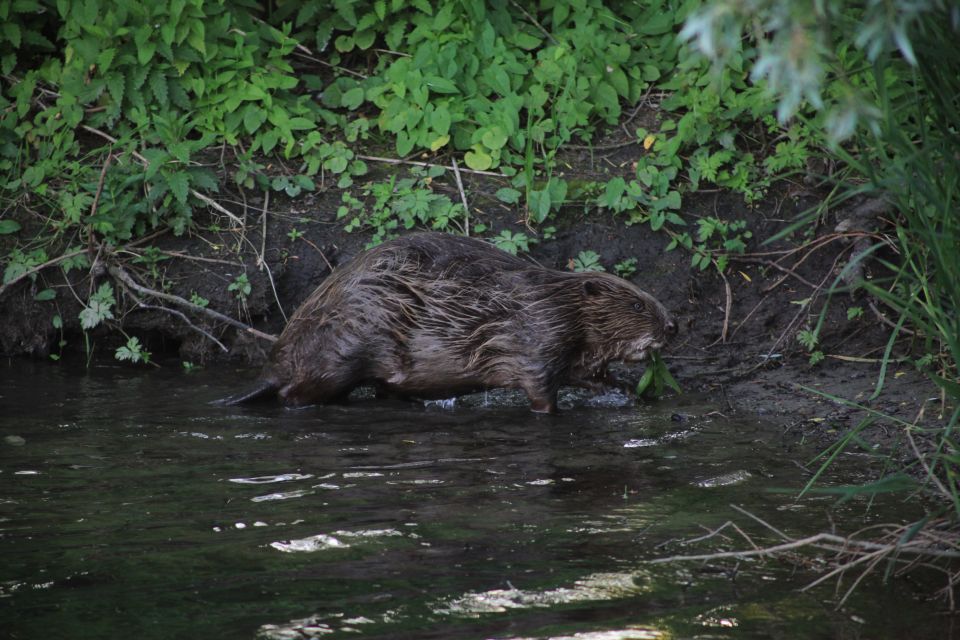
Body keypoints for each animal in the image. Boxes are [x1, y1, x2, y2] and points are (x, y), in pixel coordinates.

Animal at [225, 232, 676, 412]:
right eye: (637, 305)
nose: (672, 327)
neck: (554, 301)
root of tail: (276, 365)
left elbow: (585, 374)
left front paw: (628, 391)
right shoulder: (536, 338)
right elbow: (541, 386)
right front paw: (551, 413)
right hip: (342, 352)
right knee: (295, 395)